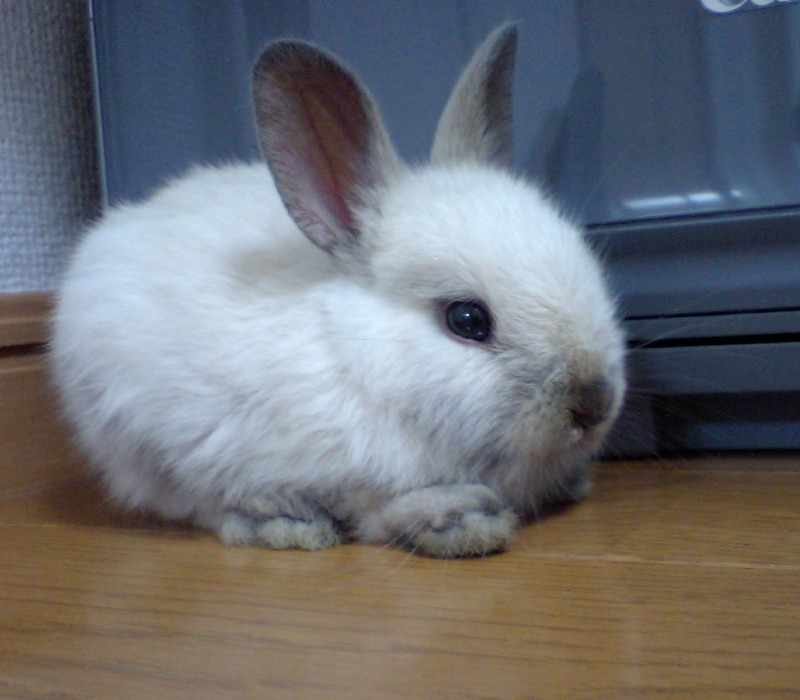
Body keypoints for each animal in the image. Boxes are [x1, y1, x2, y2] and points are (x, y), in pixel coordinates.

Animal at [50, 26, 628, 556]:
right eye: (466, 320)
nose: (594, 403)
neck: (358, 357)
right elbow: (374, 512)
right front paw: (460, 519)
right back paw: (286, 525)